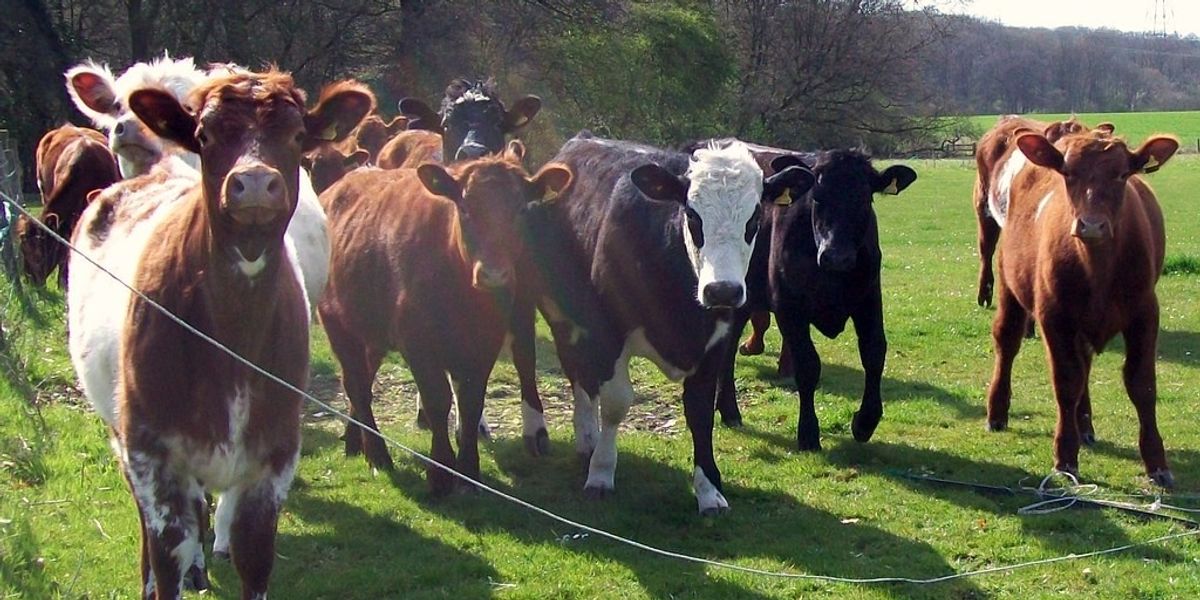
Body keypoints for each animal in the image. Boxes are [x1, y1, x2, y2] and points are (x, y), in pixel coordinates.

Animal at [67, 69, 373, 598]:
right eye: (205, 135)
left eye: (297, 135)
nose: (254, 183)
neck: (232, 339)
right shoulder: (152, 452)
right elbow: (168, 552)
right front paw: (174, 573)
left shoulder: (273, 455)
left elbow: (254, 555)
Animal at [317, 141, 573, 487]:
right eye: (464, 209)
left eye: (521, 210)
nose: (493, 274)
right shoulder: (417, 341)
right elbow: (437, 400)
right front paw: (440, 471)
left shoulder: (484, 342)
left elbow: (471, 402)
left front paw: (468, 471)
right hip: (337, 323)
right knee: (356, 383)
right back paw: (378, 455)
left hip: (371, 330)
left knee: (364, 381)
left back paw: (356, 441)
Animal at [516, 133, 814, 514]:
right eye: (692, 215)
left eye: (755, 218)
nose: (723, 290)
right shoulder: (609, 329)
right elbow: (616, 402)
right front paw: (601, 473)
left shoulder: (716, 342)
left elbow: (700, 412)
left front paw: (709, 491)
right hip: (554, 309)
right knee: (572, 371)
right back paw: (586, 439)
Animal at [708, 143, 917, 453]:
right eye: (817, 197)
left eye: (865, 199)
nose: (837, 256)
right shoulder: (789, 306)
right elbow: (807, 365)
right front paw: (807, 433)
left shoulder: (869, 298)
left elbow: (874, 352)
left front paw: (865, 421)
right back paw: (730, 409)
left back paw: (729, 411)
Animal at [983, 128, 1178, 487]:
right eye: (1068, 173)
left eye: (1121, 174)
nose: (1091, 225)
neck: (1098, 268)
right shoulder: (1053, 316)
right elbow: (1066, 382)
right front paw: (1065, 456)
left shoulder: (1145, 313)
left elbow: (1141, 384)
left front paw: (1157, 463)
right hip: (1008, 284)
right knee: (1007, 341)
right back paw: (998, 412)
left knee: (1085, 362)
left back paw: (1085, 425)